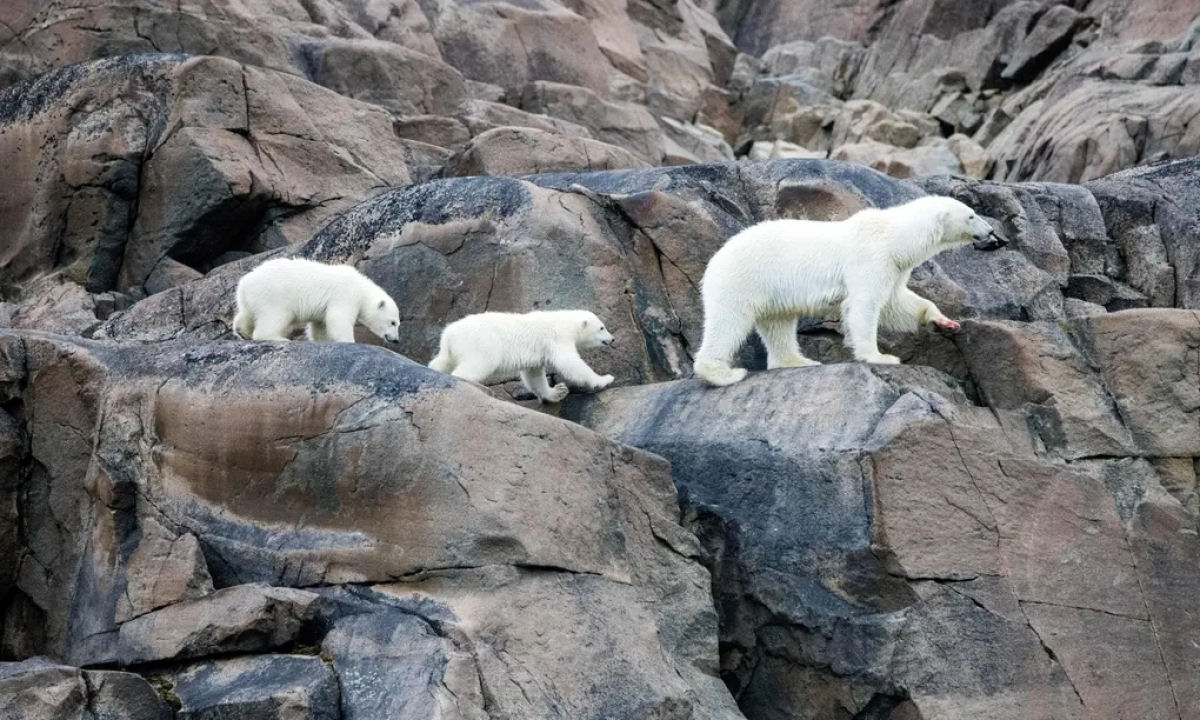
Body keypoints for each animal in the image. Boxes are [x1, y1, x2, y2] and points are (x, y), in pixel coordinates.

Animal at [230, 256, 403, 345]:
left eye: (397, 323)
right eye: (393, 322)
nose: (396, 340)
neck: (361, 288)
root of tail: (244, 283)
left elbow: (320, 325)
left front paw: (323, 340)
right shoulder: (345, 295)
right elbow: (338, 318)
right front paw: (349, 341)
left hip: (250, 298)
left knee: (246, 314)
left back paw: (243, 332)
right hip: (274, 295)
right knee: (275, 317)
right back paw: (278, 337)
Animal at [696, 194, 1003, 386]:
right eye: (971, 215)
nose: (991, 232)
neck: (894, 237)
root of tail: (715, 259)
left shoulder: (893, 267)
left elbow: (896, 302)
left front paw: (945, 321)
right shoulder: (871, 258)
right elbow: (865, 305)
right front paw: (880, 356)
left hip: (771, 290)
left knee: (778, 323)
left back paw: (799, 361)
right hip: (743, 278)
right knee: (729, 321)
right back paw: (722, 373)